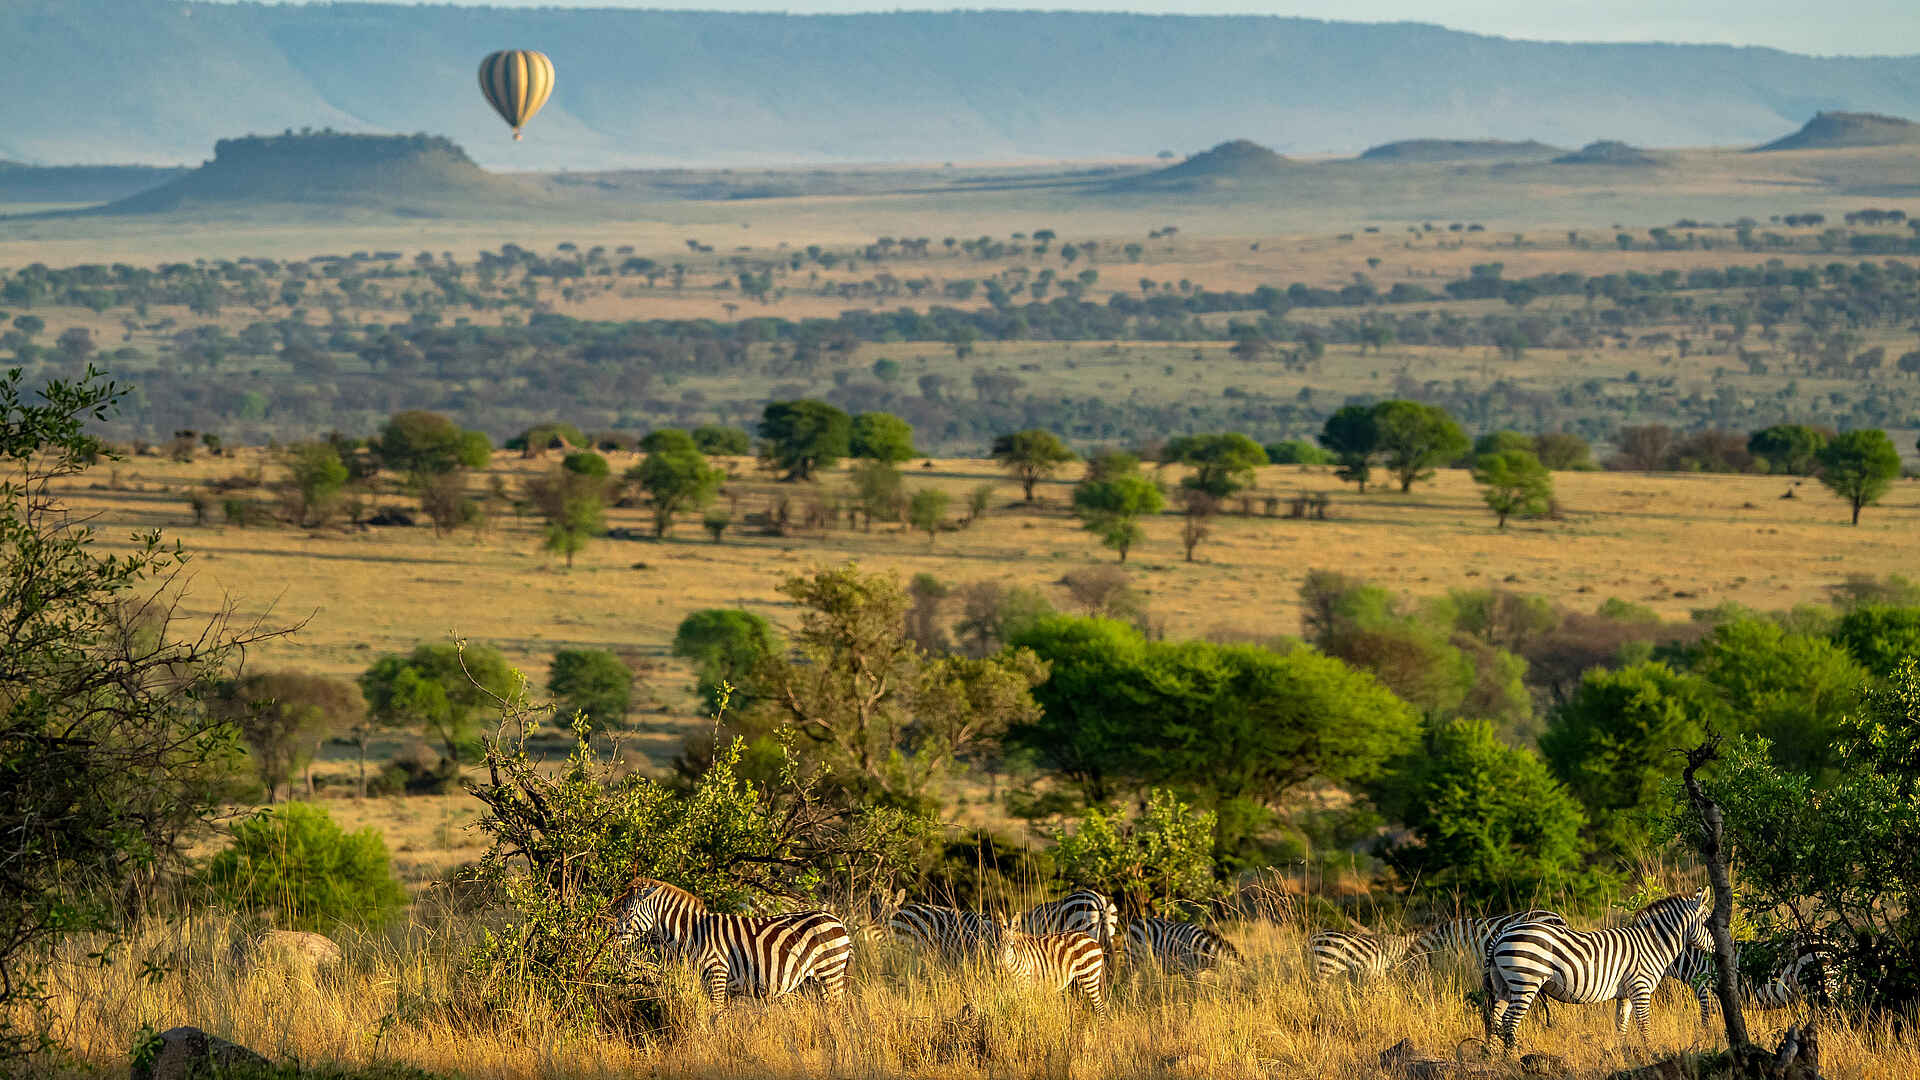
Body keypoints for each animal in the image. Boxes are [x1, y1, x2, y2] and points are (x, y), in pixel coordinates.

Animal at [610, 878, 853, 1011]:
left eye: (628, 912)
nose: (610, 937)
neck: (694, 934)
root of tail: (838, 921)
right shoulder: (710, 983)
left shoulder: (717, 973)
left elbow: (714, 1016)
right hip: (821, 981)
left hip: (831, 971)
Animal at [1484, 889, 1712, 1050]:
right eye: (1709, 922)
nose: (1717, 949)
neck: (1651, 944)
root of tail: (1503, 932)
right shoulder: (1640, 988)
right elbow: (1644, 1024)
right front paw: (1651, 1052)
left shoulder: (1625, 994)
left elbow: (1621, 1025)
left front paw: (1622, 1054)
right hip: (1525, 981)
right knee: (1510, 1021)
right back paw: (1514, 1057)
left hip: (1503, 985)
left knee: (1496, 1018)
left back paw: (1498, 1057)